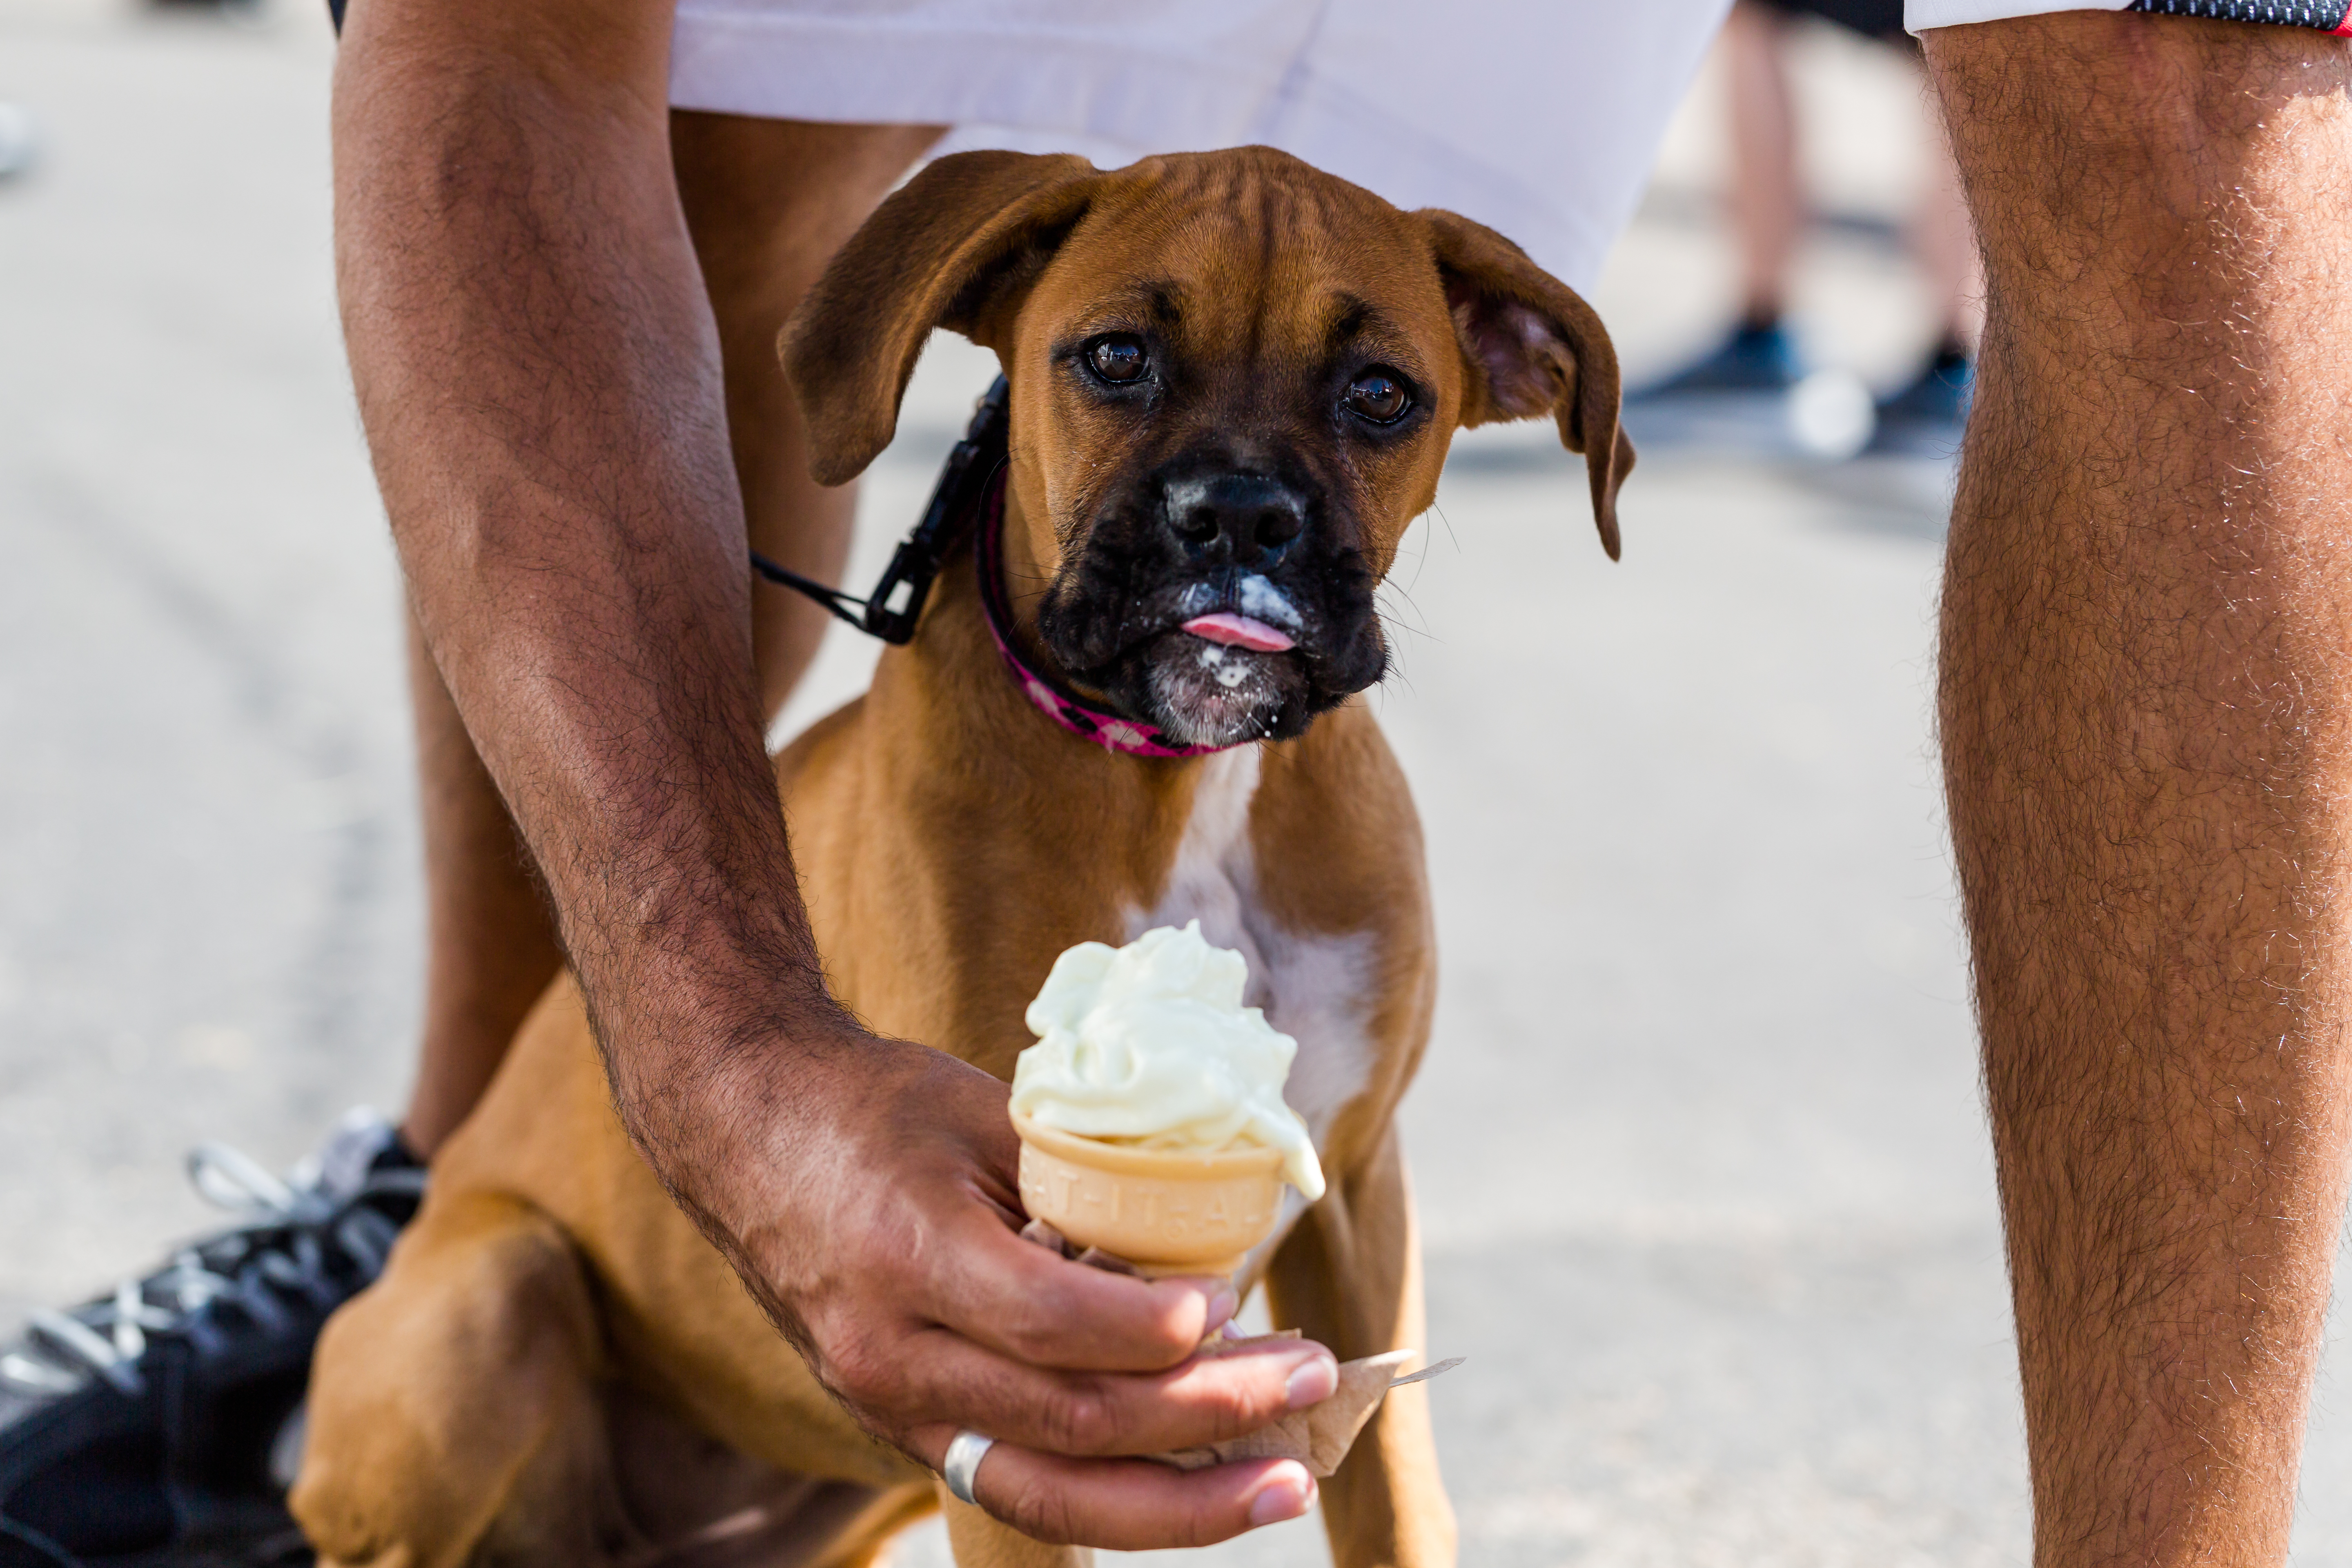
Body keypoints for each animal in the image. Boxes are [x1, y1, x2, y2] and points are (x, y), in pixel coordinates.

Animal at [284, 147, 1627, 1568]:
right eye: (1115, 357)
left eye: (1382, 395)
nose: (1239, 514)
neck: (1186, 784)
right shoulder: (1007, 1345)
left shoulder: (1362, 1202)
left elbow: (1401, 1505)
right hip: (491, 1297)